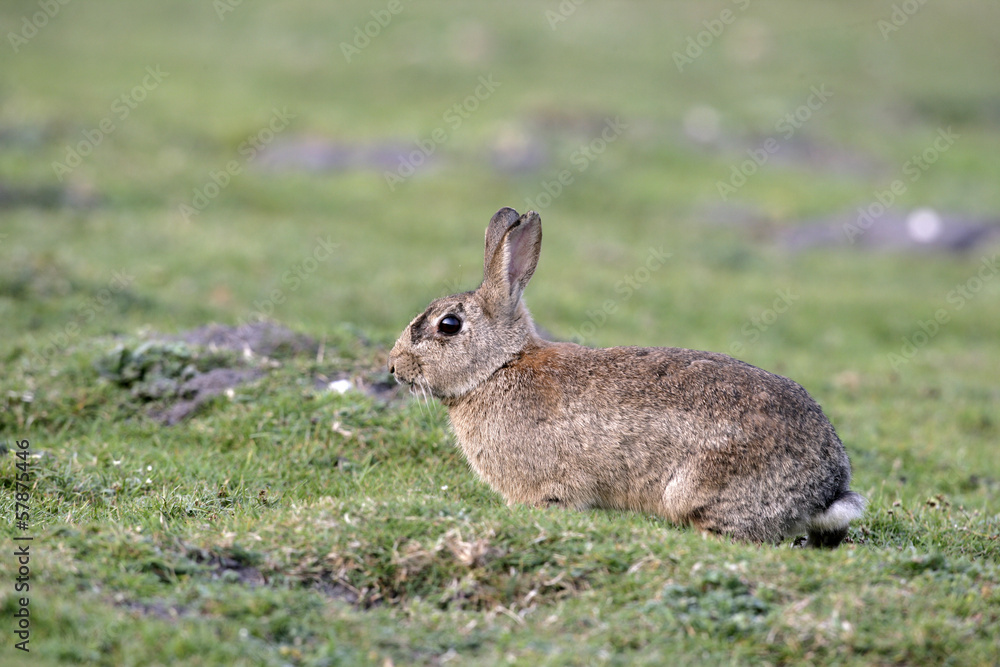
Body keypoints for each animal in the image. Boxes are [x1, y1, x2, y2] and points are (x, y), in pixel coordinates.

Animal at [388, 207, 866, 547]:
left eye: (448, 326)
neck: (498, 367)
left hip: (705, 487)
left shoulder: (551, 487)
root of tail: (828, 485)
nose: (393, 366)